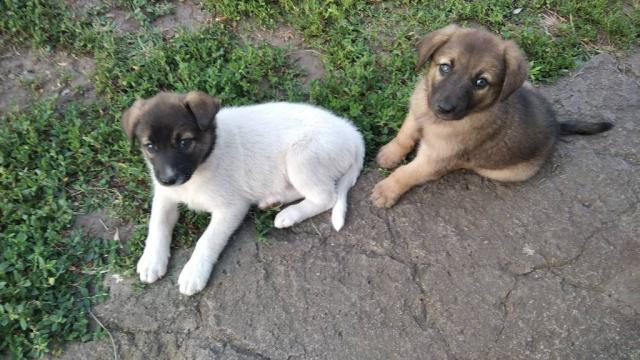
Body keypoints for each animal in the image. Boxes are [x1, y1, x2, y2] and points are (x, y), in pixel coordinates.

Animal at [122, 92, 364, 296]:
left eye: (184, 142)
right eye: (150, 146)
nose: (168, 179)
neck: (206, 159)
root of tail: (353, 134)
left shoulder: (231, 208)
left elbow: (207, 240)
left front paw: (194, 272)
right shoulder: (165, 196)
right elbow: (157, 224)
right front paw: (152, 260)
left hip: (301, 159)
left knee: (327, 197)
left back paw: (289, 214)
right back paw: (273, 201)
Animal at [372, 23, 612, 207]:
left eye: (481, 82)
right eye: (445, 67)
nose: (443, 108)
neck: (433, 120)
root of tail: (557, 124)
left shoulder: (434, 158)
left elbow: (407, 173)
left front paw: (387, 190)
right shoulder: (417, 111)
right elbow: (404, 135)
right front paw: (390, 154)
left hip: (510, 171)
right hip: (527, 85)